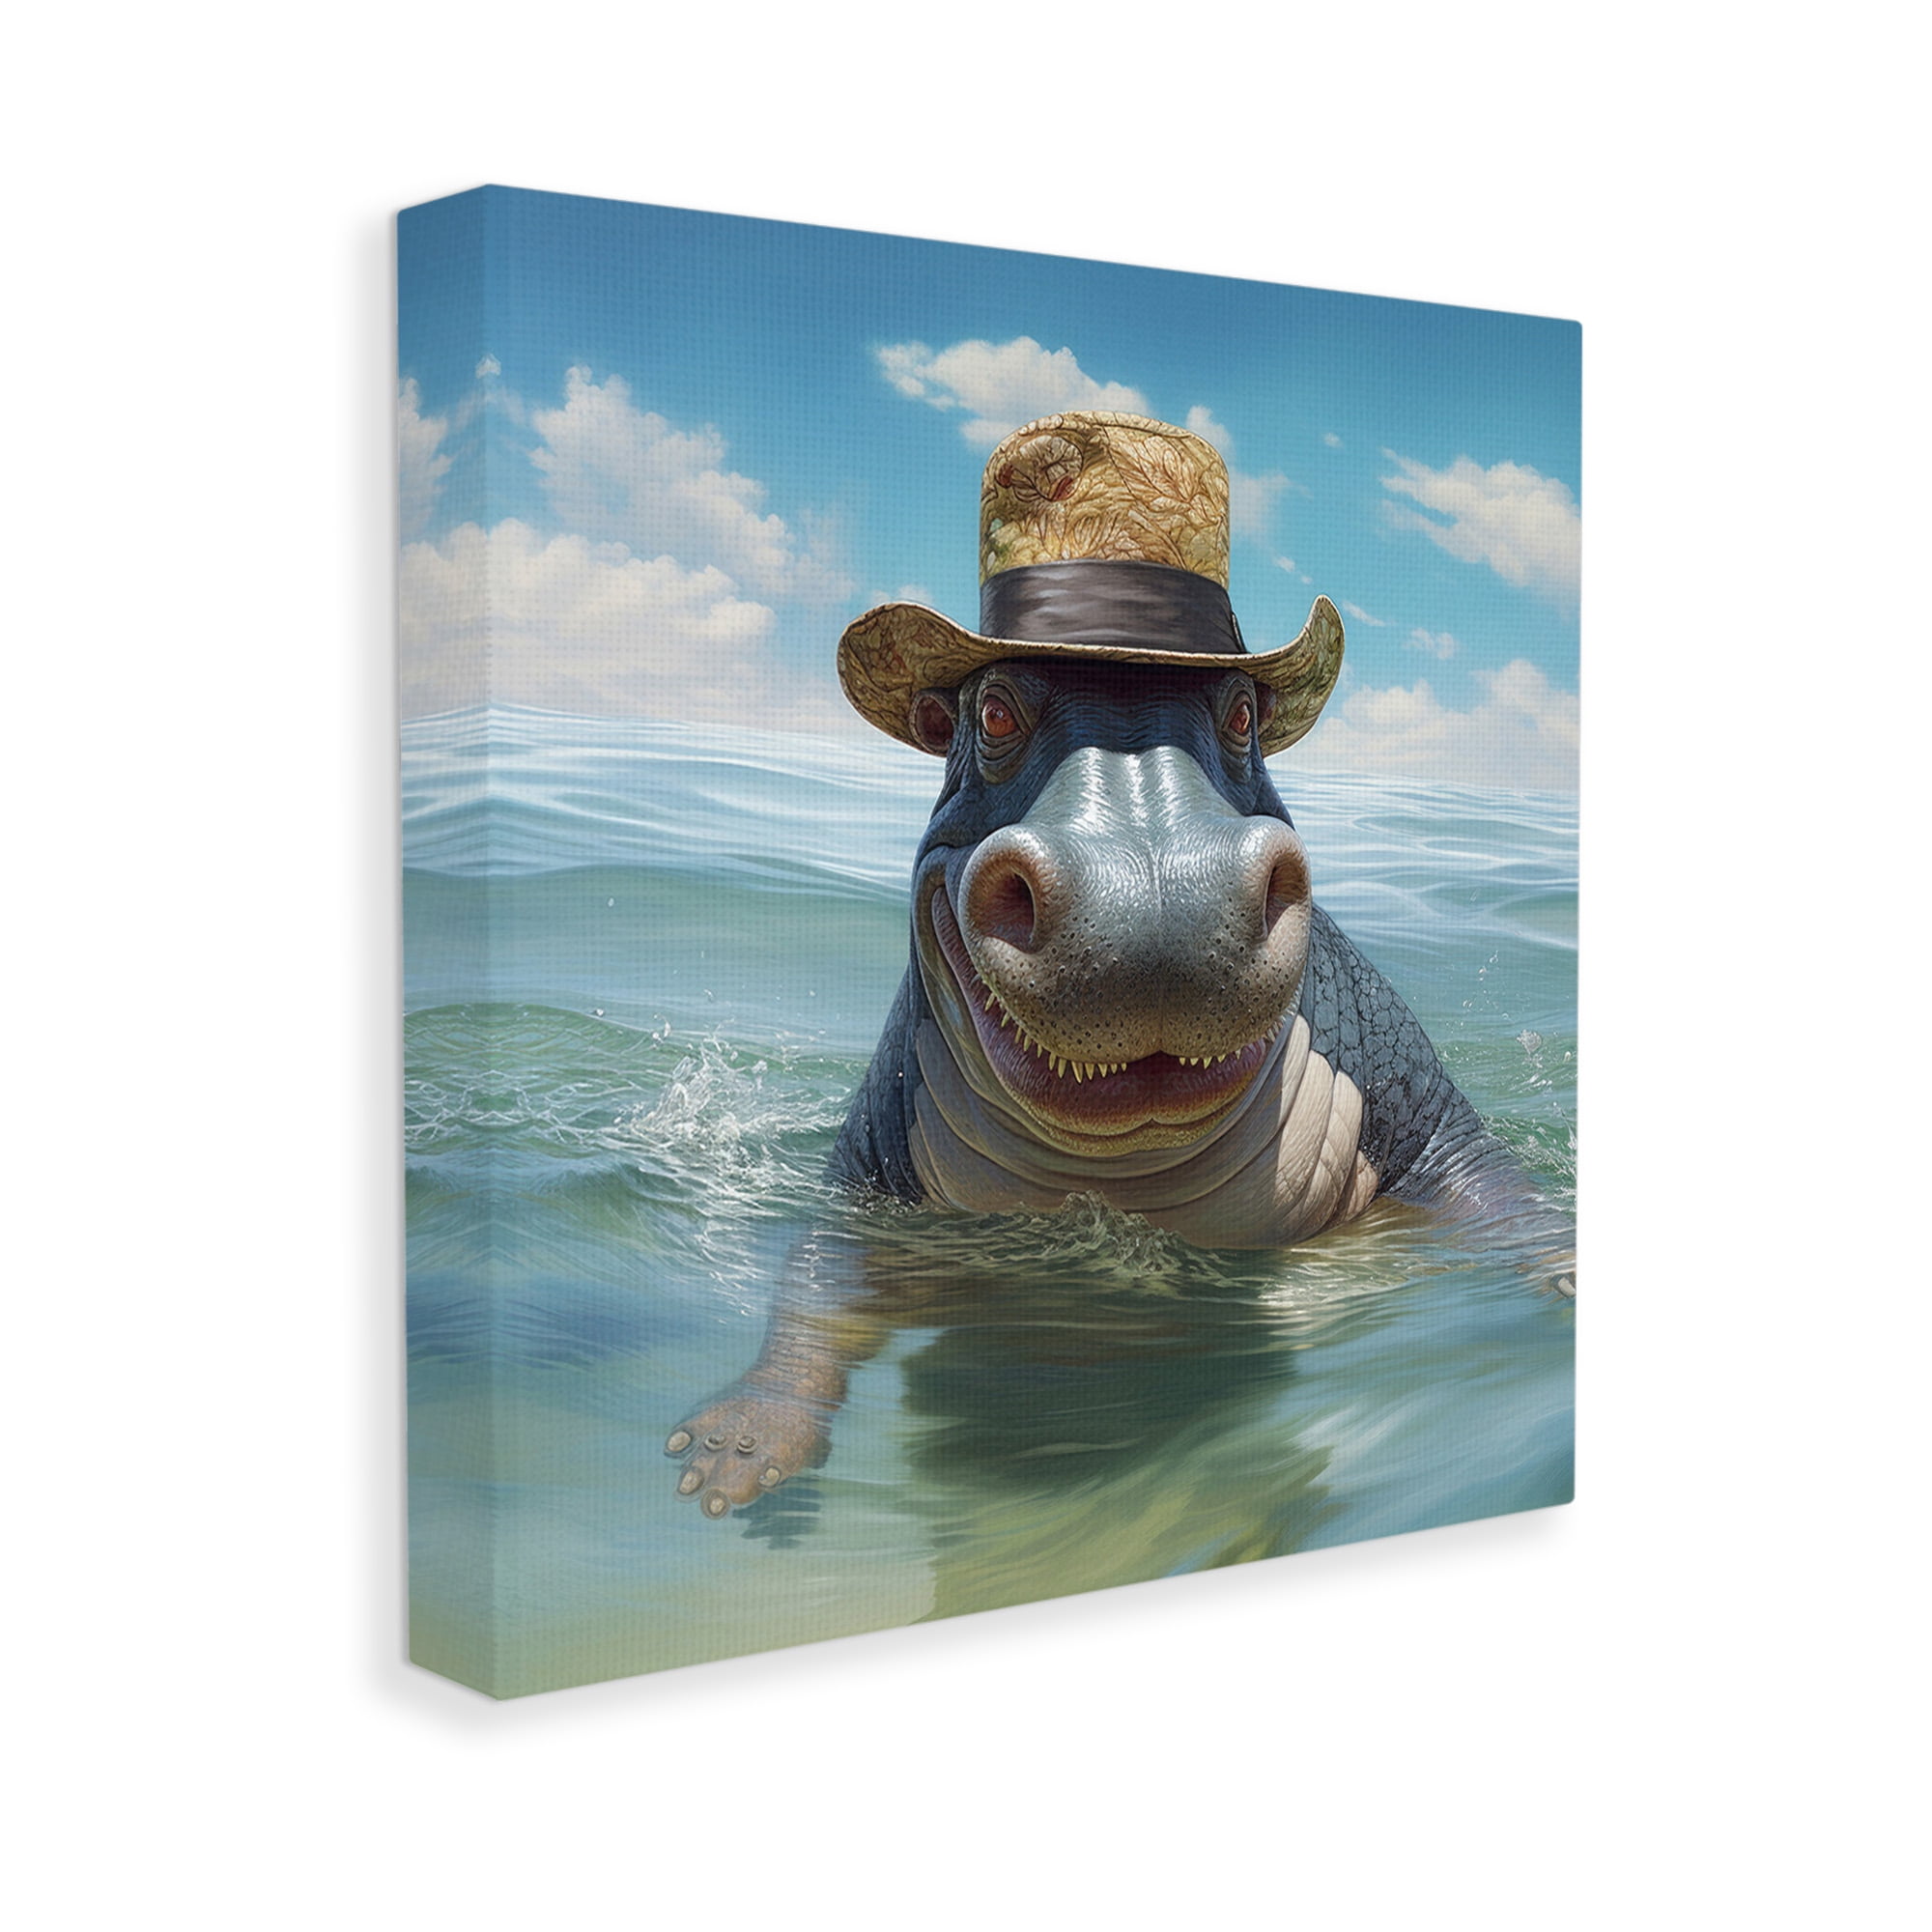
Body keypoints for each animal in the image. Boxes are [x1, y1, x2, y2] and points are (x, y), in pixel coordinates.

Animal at [668, 412, 1570, 1516]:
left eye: (1243, 712)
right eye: (990, 712)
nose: (1153, 887)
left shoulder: (1435, 1126)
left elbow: (1510, 1202)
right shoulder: (864, 1189)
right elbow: (815, 1281)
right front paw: (730, 1453)